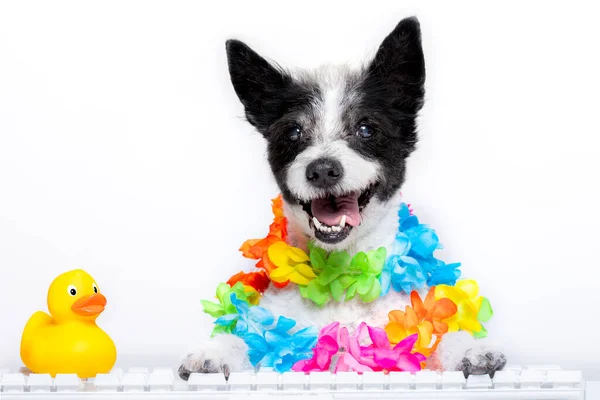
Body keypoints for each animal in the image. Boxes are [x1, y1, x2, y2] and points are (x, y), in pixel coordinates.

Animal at [178, 16, 506, 378]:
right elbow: (246, 340)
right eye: (293, 132)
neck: (342, 275)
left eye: (366, 129)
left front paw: (470, 348)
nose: (322, 170)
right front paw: (216, 350)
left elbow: (441, 339)